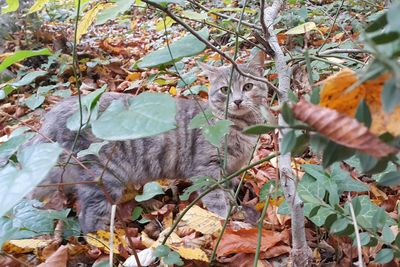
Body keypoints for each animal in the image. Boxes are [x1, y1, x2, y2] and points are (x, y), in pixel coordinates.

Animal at [29, 51, 268, 232]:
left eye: (248, 87)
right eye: (225, 90)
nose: (237, 101)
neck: (241, 128)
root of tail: (56, 112)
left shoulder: (230, 170)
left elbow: (229, 192)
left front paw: (235, 210)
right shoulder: (206, 170)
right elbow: (216, 199)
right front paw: (224, 222)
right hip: (103, 179)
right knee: (88, 218)